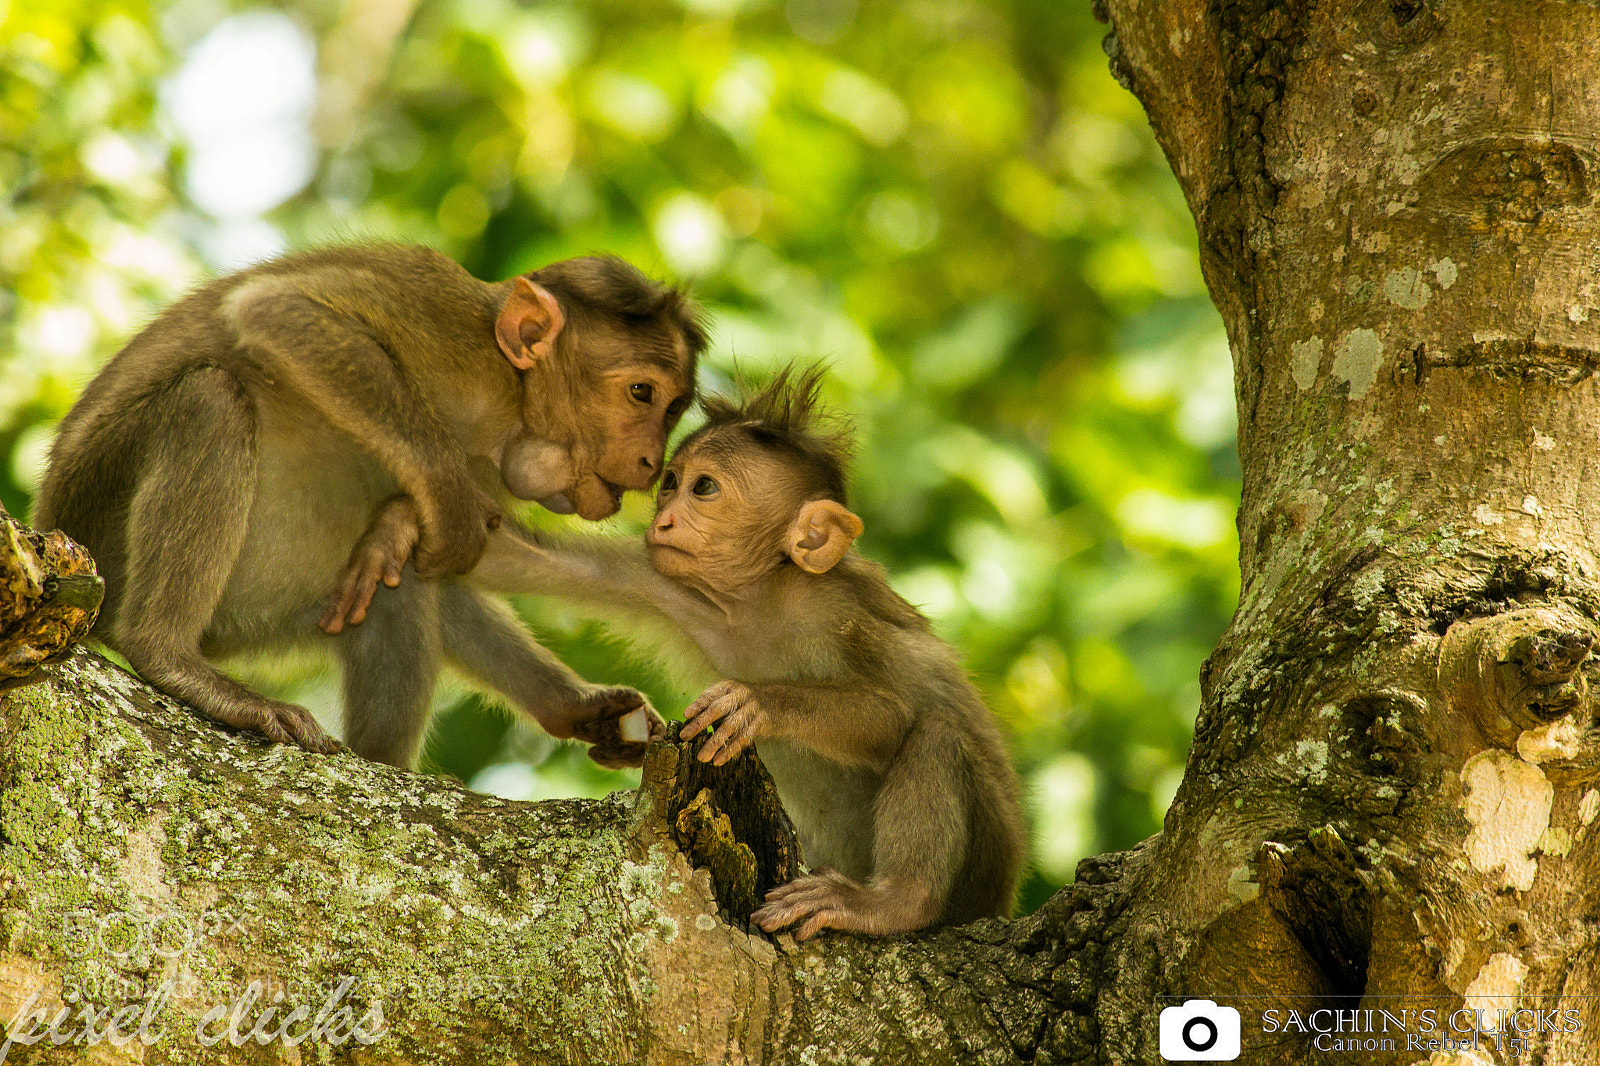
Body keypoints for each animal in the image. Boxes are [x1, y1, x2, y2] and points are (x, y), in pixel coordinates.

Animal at [33, 242, 705, 770]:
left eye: (674, 408)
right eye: (641, 393)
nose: (652, 462)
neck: (509, 412)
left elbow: (447, 567)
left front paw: (577, 707)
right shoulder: (452, 338)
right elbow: (278, 310)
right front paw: (445, 491)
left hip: (266, 617)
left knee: (392, 583)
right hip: (102, 522)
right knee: (210, 399)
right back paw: (167, 657)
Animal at [325, 366, 1025, 938]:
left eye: (705, 489)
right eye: (671, 482)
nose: (663, 518)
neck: (760, 596)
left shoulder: (844, 615)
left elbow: (894, 714)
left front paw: (757, 704)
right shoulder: (669, 584)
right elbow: (544, 565)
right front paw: (401, 525)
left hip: (983, 872)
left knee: (936, 731)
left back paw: (894, 904)